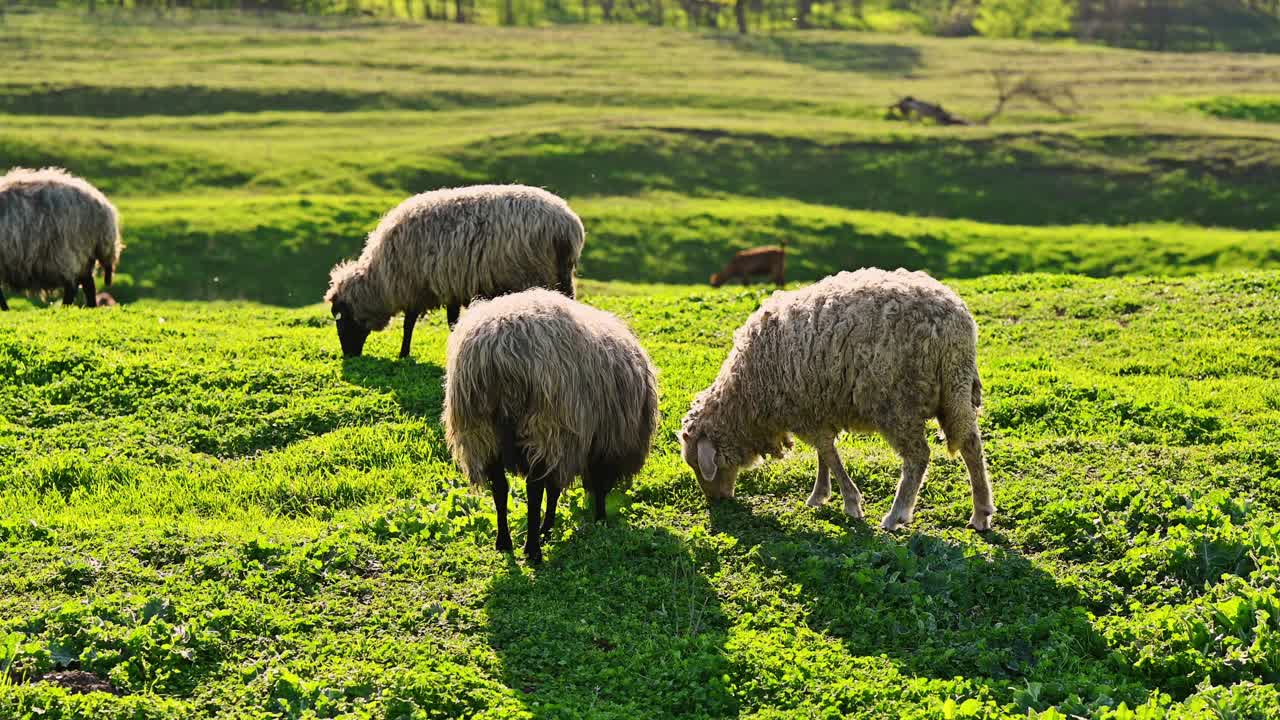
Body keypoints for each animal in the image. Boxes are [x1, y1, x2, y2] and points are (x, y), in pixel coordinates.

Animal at [0, 166, 122, 310]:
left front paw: (4, 309)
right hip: (85, 255)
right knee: (88, 283)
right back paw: (90, 306)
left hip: (67, 252)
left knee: (73, 285)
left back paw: (65, 307)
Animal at [325, 181, 586, 356]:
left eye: (341, 319)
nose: (349, 355)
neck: (380, 279)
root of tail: (567, 225)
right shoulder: (450, 285)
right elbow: (450, 320)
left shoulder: (415, 286)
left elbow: (410, 323)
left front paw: (403, 353)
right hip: (559, 274)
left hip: (535, 272)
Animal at [442, 285, 660, 561]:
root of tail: (499, 350)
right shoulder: (588, 442)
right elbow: (574, 487)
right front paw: (594, 519)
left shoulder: (570, 444)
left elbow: (554, 487)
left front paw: (549, 528)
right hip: (542, 424)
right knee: (533, 490)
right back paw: (533, 550)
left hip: (480, 430)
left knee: (500, 487)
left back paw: (504, 542)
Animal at [675, 266, 993, 530]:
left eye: (699, 466)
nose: (717, 500)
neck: (748, 393)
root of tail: (955, 323)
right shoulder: (817, 407)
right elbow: (823, 453)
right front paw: (820, 494)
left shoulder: (804, 409)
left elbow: (828, 453)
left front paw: (850, 502)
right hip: (955, 388)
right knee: (970, 444)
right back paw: (981, 513)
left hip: (899, 402)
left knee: (918, 456)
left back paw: (896, 515)